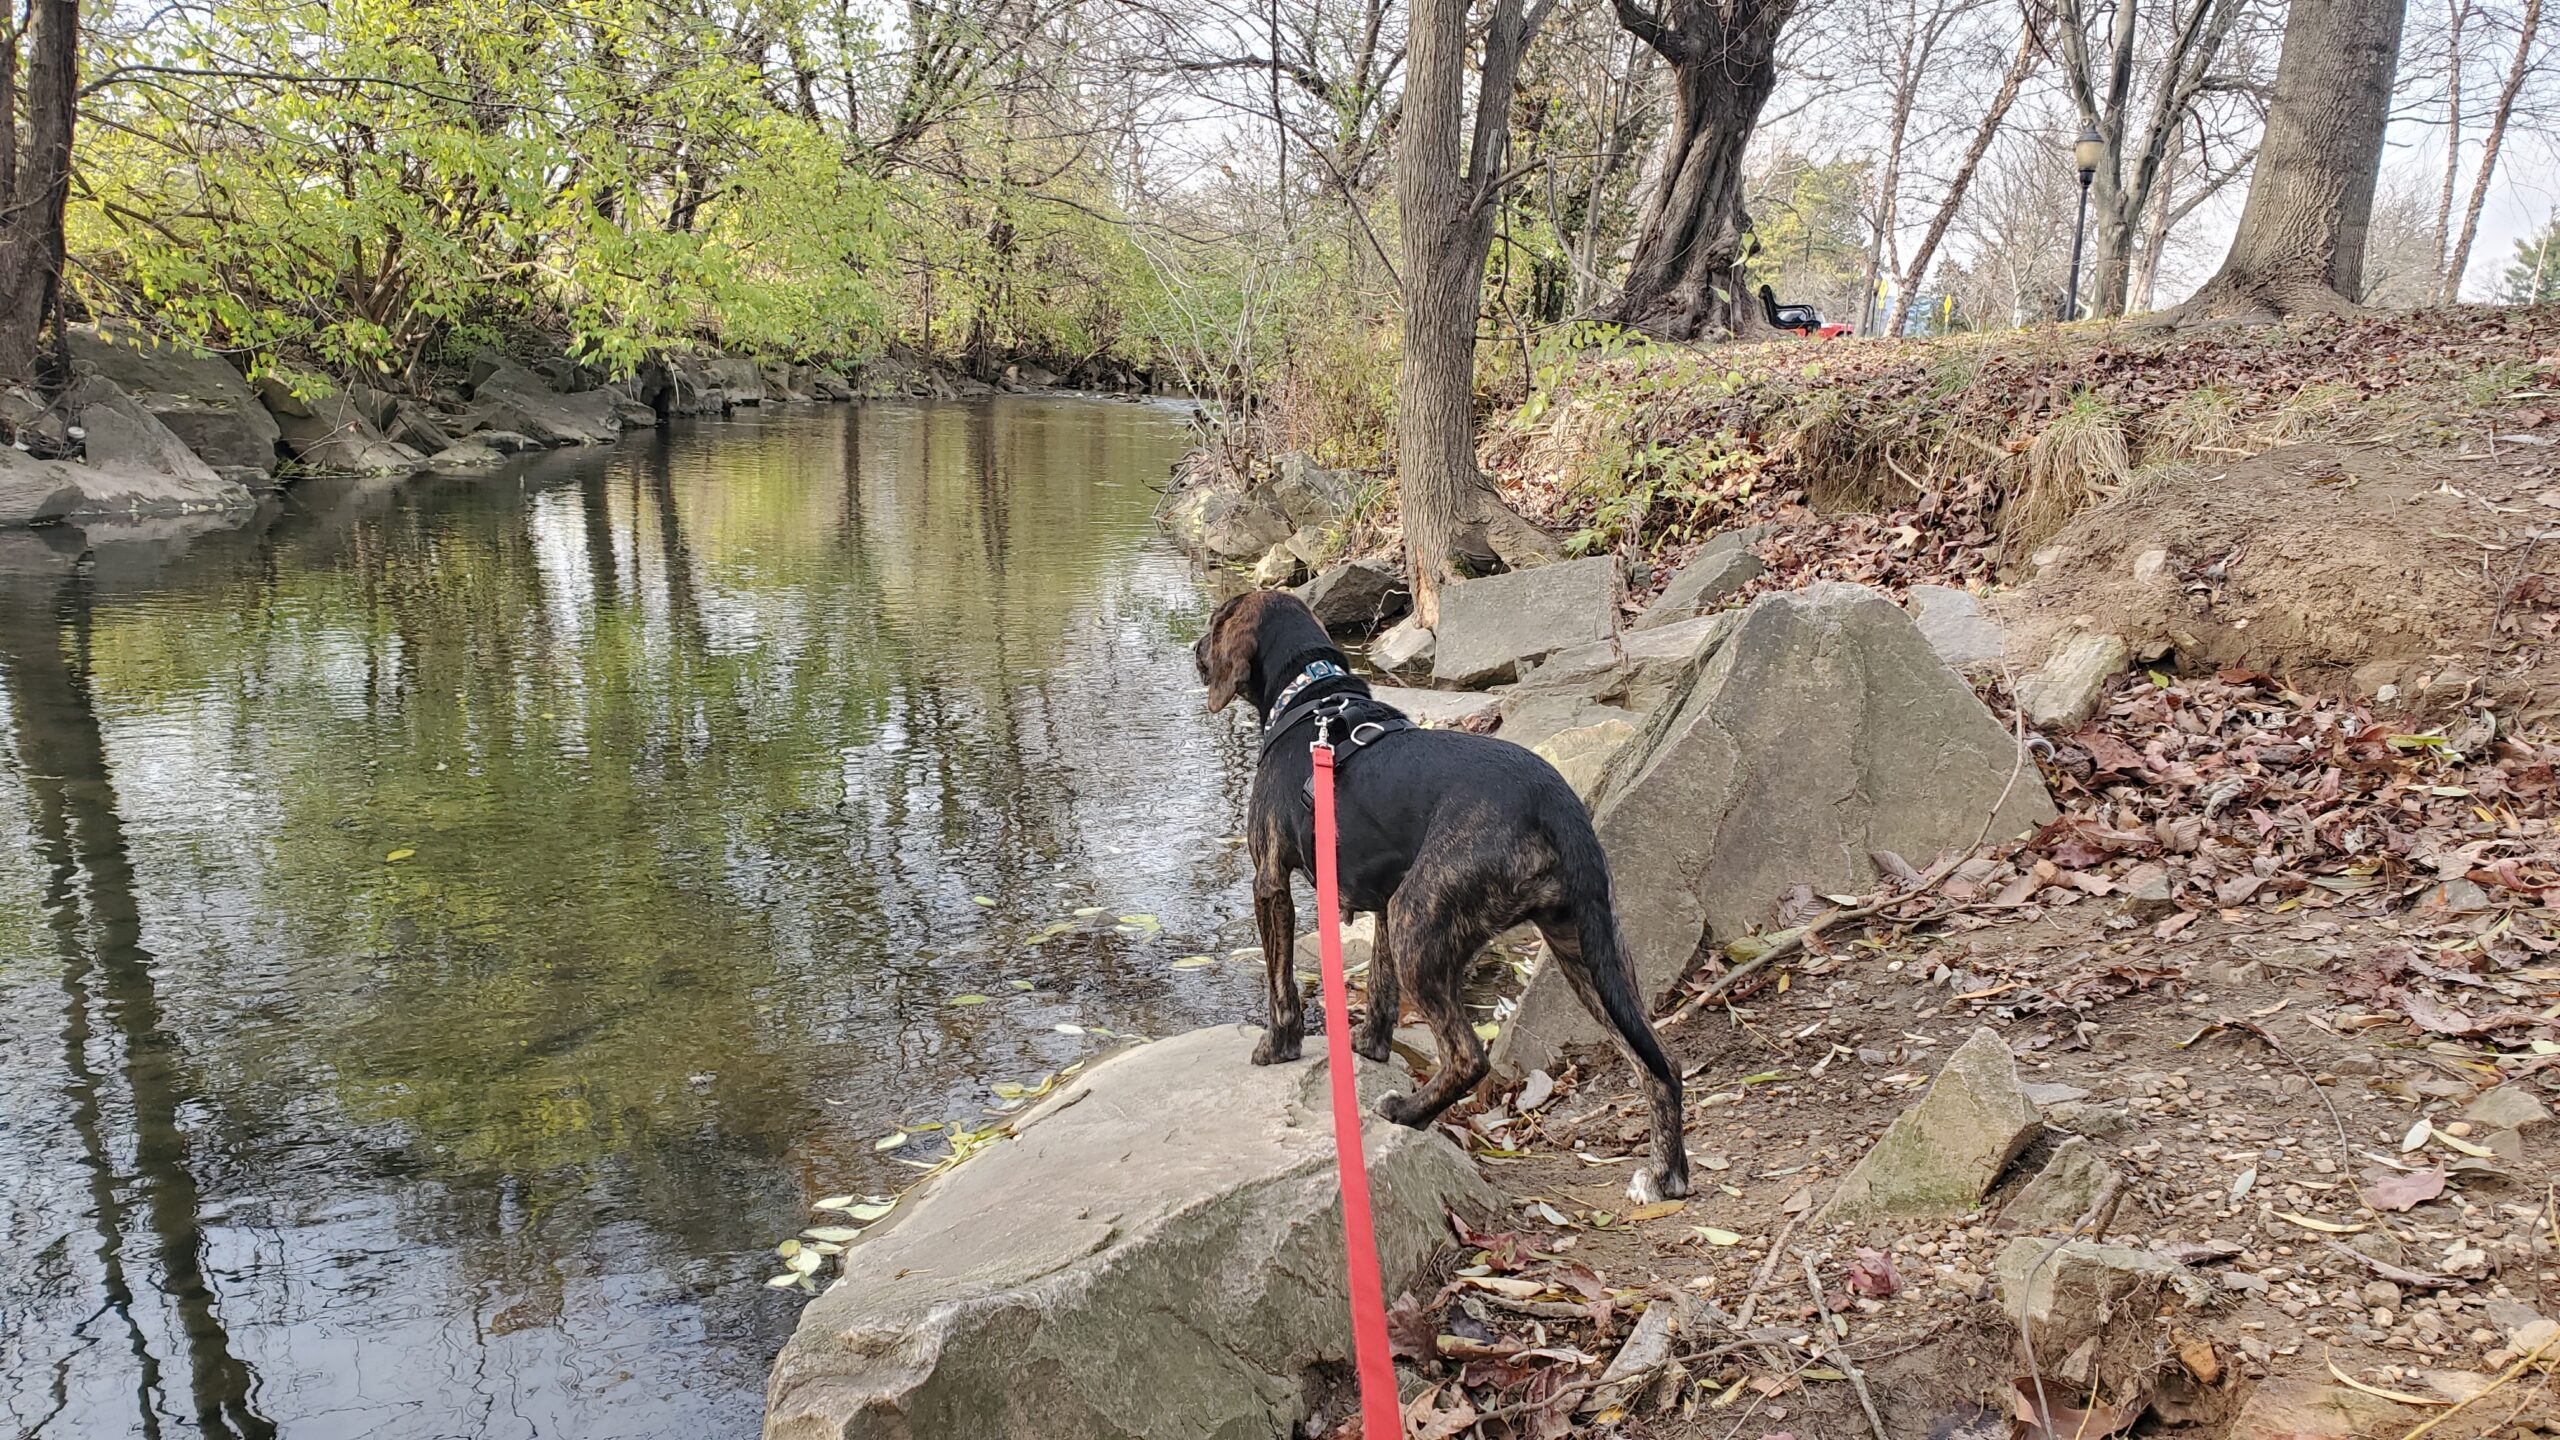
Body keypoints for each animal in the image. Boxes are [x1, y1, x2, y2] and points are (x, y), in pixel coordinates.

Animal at [1198, 586, 1699, 1199]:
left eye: (1214, 624)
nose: (1195, 651)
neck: (1310, 697)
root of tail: (1556, 803)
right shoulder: (1382, 900)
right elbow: (1381, 992)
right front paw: (1368, 1049)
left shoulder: (1269, 881)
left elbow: (1280, 984)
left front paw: (1277, 1047)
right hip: (1584, 950)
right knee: (1660, 1062)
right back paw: (1666, 1171)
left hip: (1423, 922)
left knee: (1468, 1057)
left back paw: (1408, 1111)